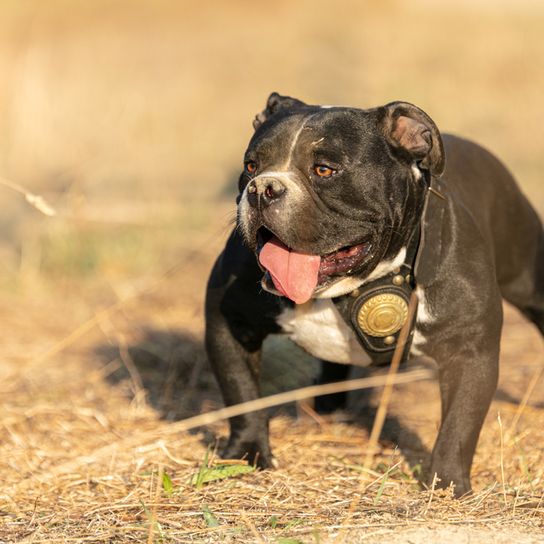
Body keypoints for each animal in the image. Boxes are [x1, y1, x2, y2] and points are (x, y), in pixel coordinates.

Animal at [205, 93, 544, 498]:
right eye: (251, 166)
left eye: (325, 170)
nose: (262, 189)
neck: (353, 284)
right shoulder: (229, 321)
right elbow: (241, 394)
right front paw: (247, 453)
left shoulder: (470, 349)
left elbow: (459, 424)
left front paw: (446, 484)